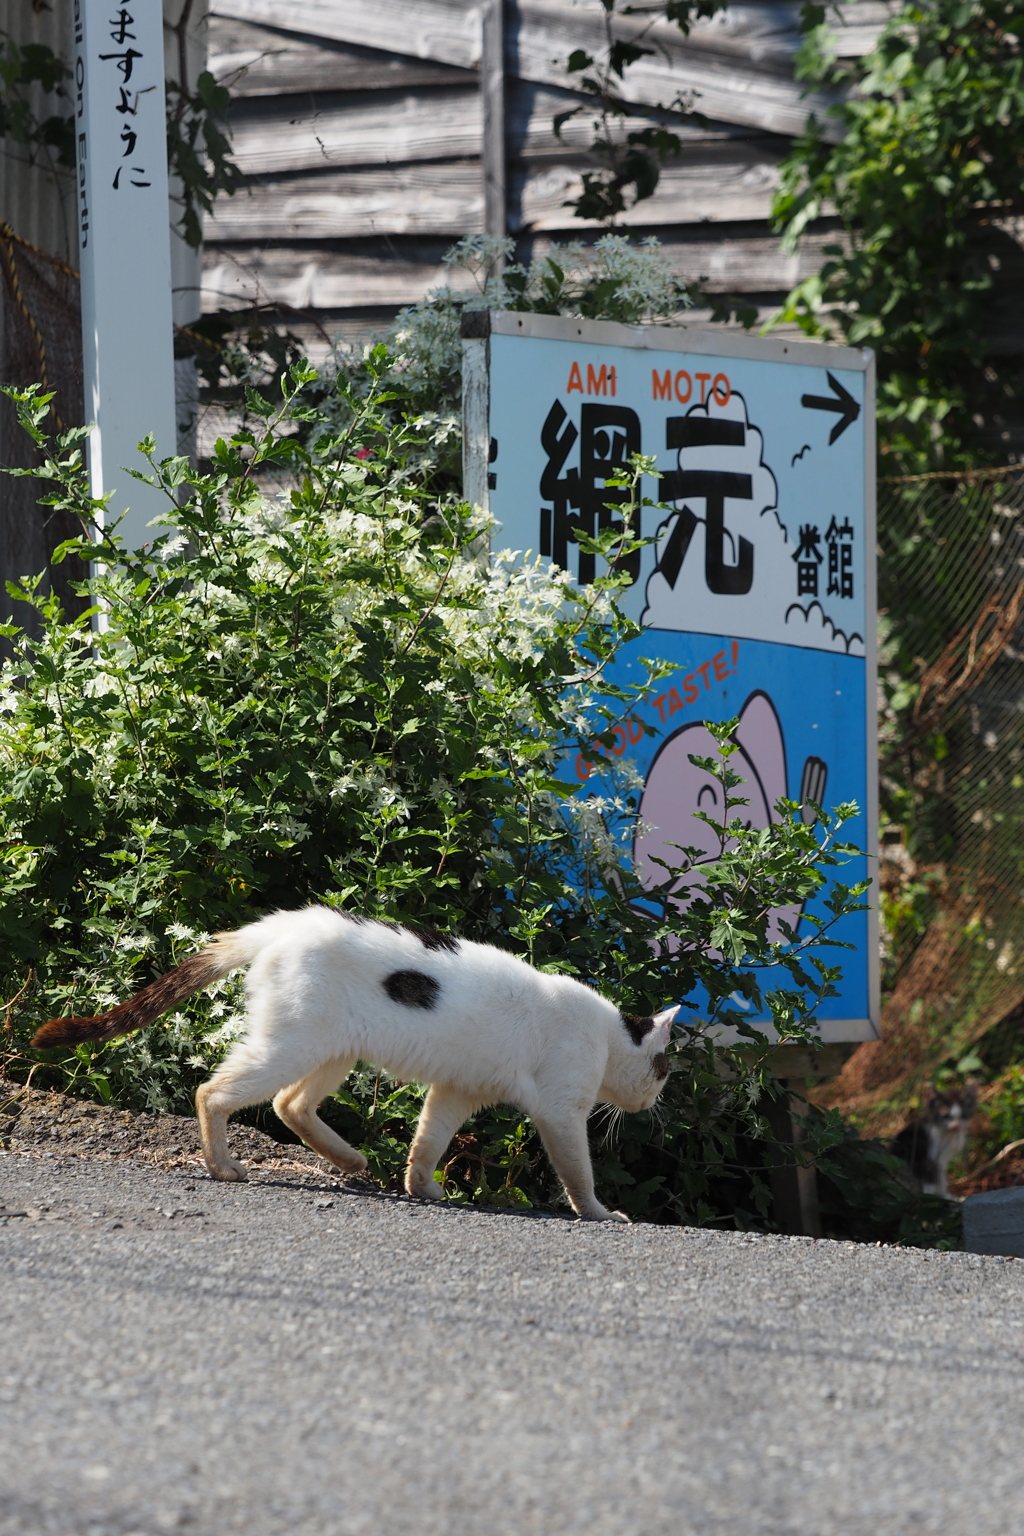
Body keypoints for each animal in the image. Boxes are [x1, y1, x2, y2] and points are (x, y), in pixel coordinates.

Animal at [32, 909, 675, 1222]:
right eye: (666, 1068)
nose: (657, 1099)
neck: (608, 1036)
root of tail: (289, 920)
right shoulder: (562, 1113)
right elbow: (578, 1175)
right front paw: (600, 1214)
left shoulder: (456, 1091)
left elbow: (427, 1143)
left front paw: (422, 1188)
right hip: (291, 1046)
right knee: (212, 1092)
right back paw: (224, 1166)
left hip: (330, 1051)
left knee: (289, 1103)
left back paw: (350, 1160)